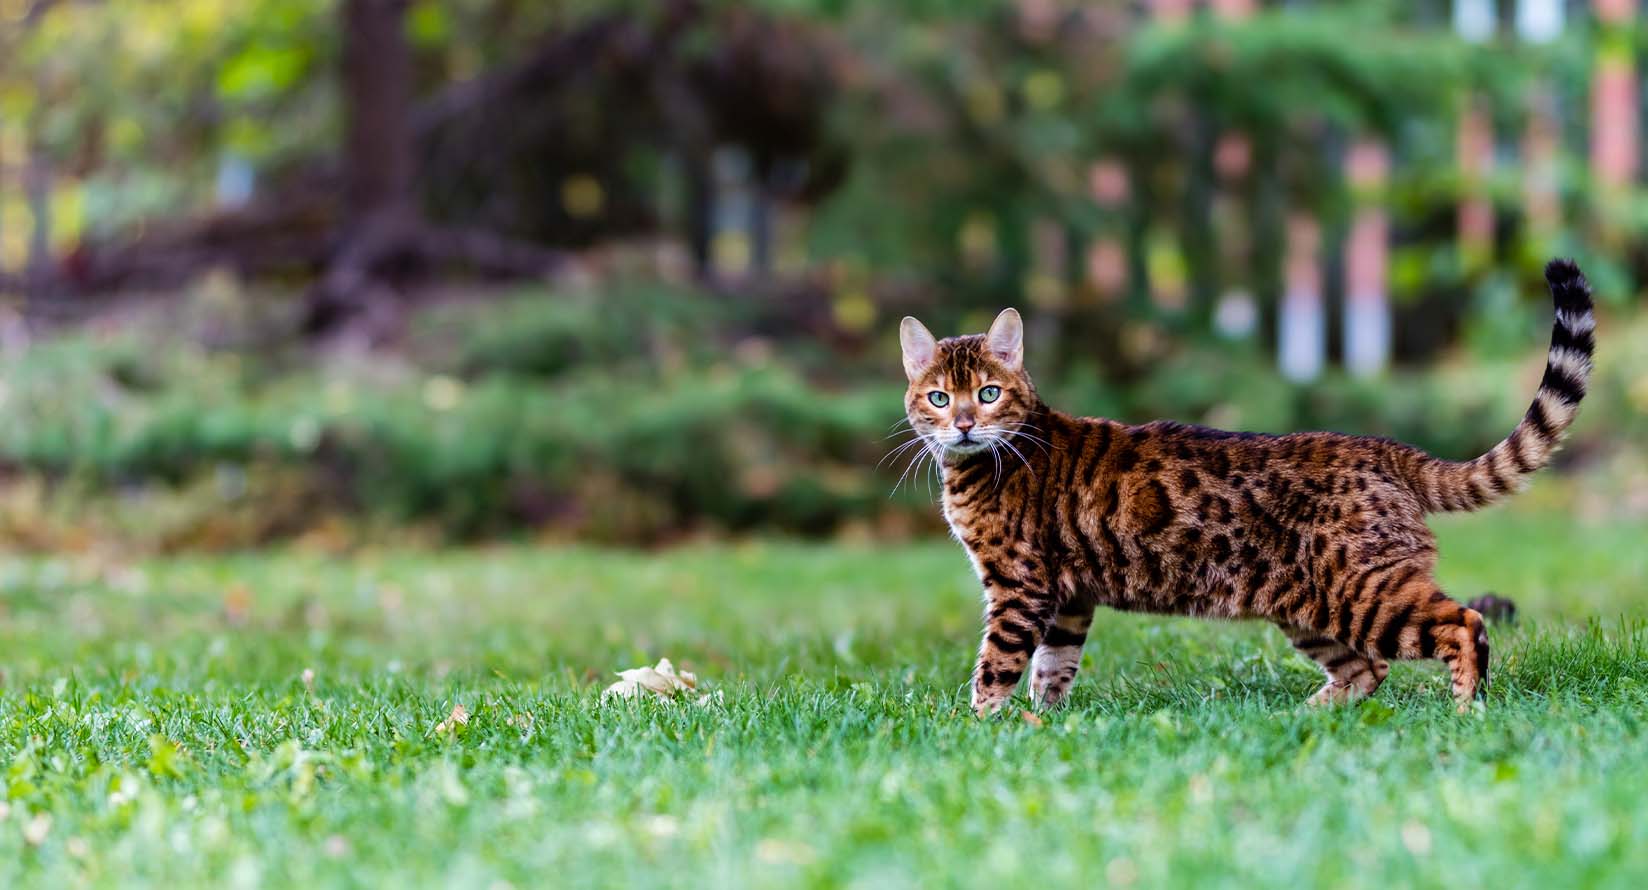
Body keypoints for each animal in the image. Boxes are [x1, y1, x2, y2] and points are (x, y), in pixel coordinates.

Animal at [903, 258, 1595, 715]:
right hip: (1313, 609)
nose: (963, 424)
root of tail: (1381, 447)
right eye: (938, 397)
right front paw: (1042, 723)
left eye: (988, 393)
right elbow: (1052, 668)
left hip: (1366, 593)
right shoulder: (1067, 598)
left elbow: (996, 666)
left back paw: (1464, 709)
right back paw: (1307, 716)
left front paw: (981, 728)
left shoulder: (1019, 587)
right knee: (1368, 668)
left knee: (1464, 623)